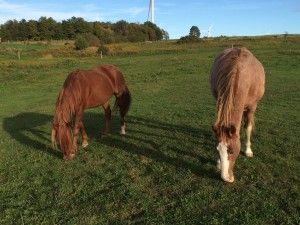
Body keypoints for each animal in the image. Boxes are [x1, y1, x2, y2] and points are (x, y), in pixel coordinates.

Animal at [210, 48, 264, 183]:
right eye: (217, 150)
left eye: (231, 151)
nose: (225, 178)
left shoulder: (252, 107)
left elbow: (247, 128)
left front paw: (248, 151)